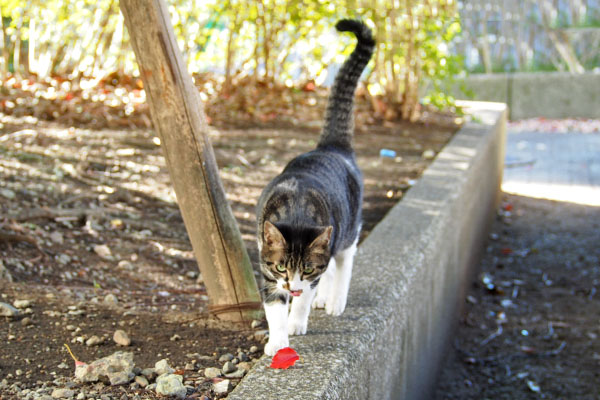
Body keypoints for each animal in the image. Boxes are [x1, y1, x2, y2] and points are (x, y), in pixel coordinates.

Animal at [256, 18, 376, 356]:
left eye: (306, 269)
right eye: (281, 267)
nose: (293, 286)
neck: (296, 212)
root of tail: (331, 146)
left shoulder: (313, 271)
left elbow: (305, 295)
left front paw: (296, 321)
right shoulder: (266, 270)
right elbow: (273, 307)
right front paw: (277, 340)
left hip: (348, 229)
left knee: (343, 263)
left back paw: (334, 300)